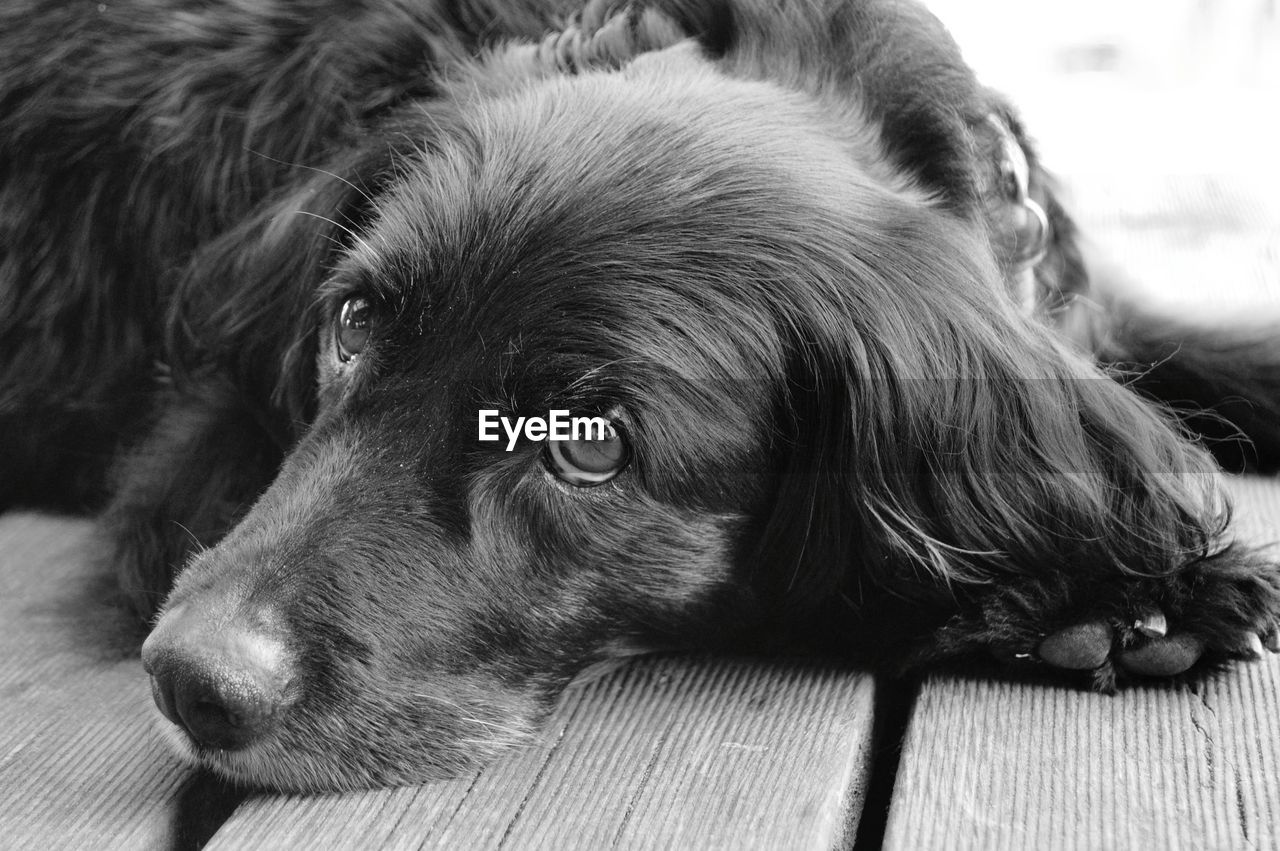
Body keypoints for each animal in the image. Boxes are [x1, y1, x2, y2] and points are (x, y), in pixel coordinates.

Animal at [2, 0, 1280, 788]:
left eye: (588, 446)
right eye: (352, 324)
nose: (190, 681)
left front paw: (1142, 585)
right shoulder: (189, 470)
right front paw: (1104, 593)